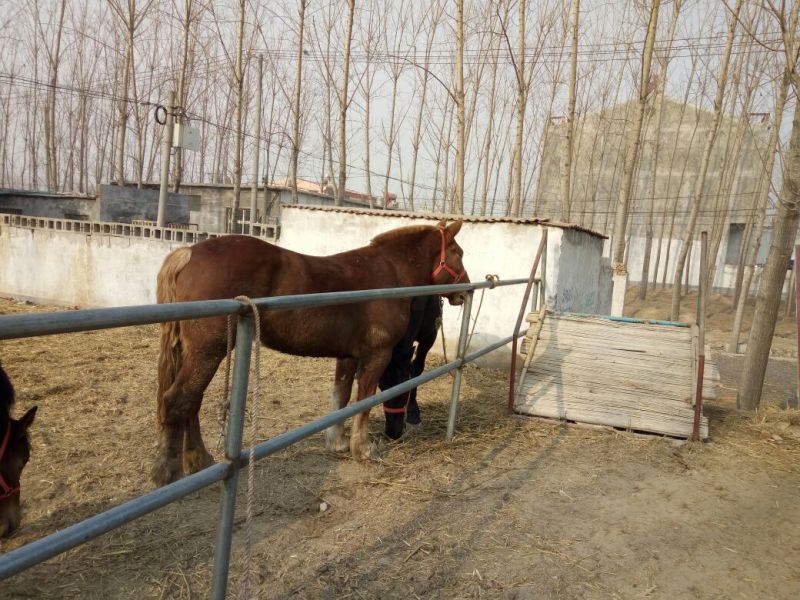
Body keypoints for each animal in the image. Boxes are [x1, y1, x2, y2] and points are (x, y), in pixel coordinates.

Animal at [379, 295, 442, 439]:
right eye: (381, 387)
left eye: (404, 386)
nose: (392, 433)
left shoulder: (430, 336)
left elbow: (417, 369)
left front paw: (413, 417)